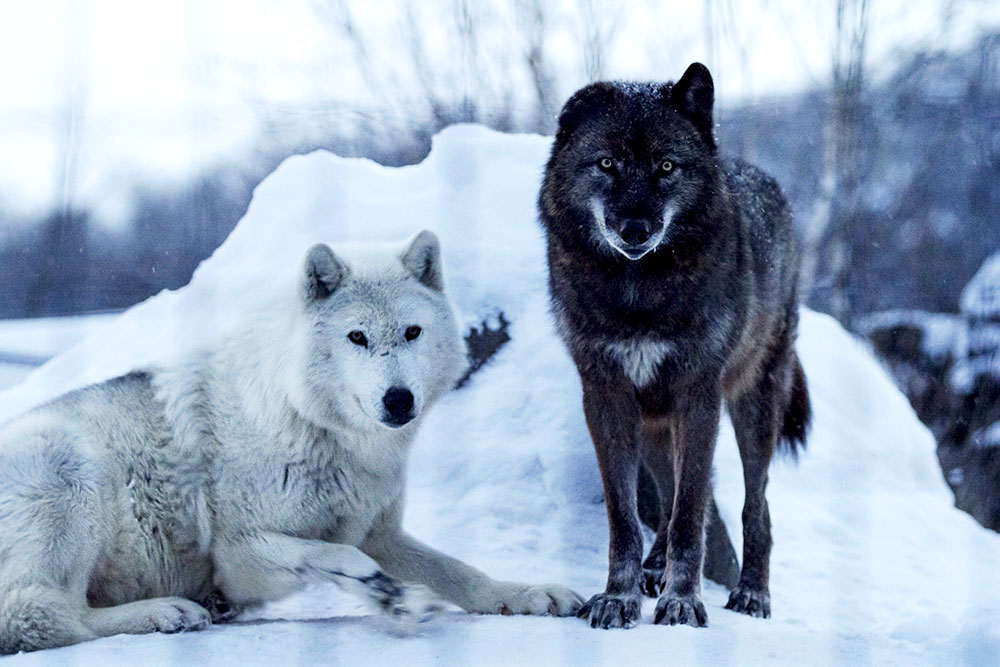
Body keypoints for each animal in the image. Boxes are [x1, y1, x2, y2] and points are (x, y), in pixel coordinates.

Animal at [0, 231, 582, 654]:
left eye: (412, 333)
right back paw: (170, 611)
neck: (313, 424)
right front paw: (378, 589)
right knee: (34, 615)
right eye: (357, 337)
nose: (398, 400)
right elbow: (335, 553)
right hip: (73, 469)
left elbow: (460, 572)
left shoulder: (380, 531)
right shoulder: (239, 555)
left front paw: (525, 594)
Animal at [538, 63, 811, 629]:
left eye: (666, 166)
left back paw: (752, 593)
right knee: (666, 497)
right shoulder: (606, 396)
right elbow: (627, 515)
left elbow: (691, 513)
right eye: (607, 163)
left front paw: (683, 600)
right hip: (654, 422)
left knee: (755, 506)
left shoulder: (698, 393)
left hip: (751, 407)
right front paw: (618, 596)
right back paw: (653, 568)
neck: (638, 292)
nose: (636, 229)